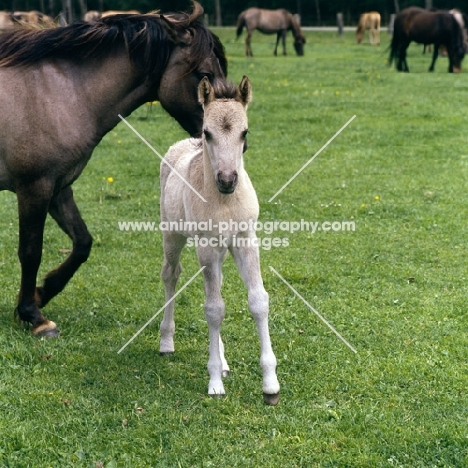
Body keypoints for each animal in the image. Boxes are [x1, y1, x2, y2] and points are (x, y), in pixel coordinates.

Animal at [0, 0, 229, 336]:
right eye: (203, 74)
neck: (57, 94)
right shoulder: (34, 187)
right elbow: (31, 251)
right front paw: (34, 316)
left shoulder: (58, 187)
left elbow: (82, 243)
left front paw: (42, 293)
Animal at [159, 75, 280, 404]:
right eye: (207, 133)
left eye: (244, 132)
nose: (227, 180)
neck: (225, 202)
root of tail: (182, 144)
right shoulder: (207, 247)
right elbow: (214, 309)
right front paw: (214, 382)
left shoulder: (245, 240)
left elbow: (258, 300)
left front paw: (271, 384)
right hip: (172, 234)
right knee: (171, 274)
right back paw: (166, 341)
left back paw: (224, 360)